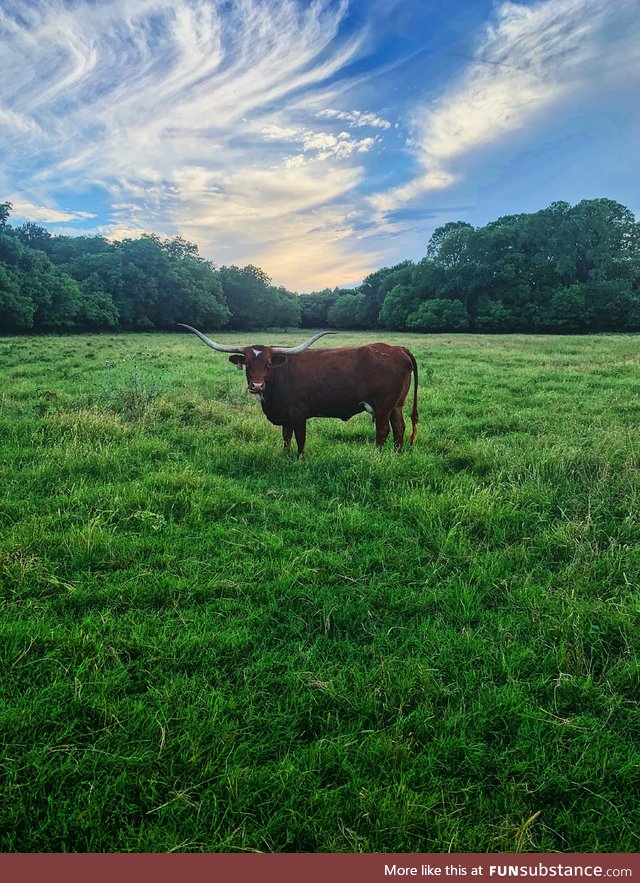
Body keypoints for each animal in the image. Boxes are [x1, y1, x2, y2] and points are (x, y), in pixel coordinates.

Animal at [179, 328, 420, 460]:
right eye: (247, 364)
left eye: (268, 364)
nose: (257, 386)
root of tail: (398, 348)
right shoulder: (286, 415)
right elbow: (286, 437)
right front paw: (285, 456)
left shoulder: (298, 415)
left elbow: (300, 438)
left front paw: (300, 459)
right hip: (396, 405)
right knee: (399, 428)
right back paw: (397, 454)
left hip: (382, 407)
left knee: (383, 431)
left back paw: (377, 455)